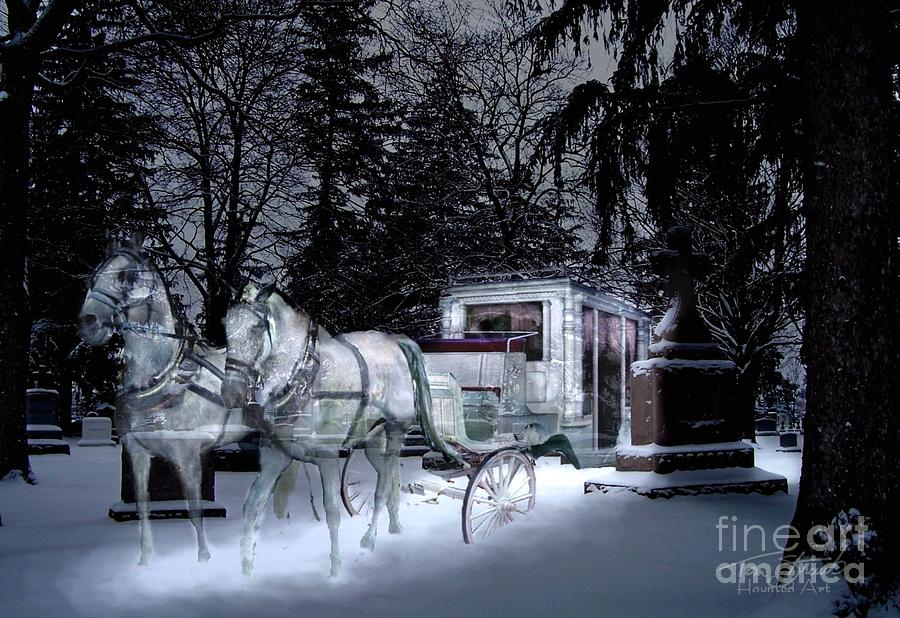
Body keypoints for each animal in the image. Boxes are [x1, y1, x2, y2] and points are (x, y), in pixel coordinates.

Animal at [77, 236, 250, 564]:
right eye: (92, 277)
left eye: (126, 276)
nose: (88, 324)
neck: (163, 374)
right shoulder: (137, 452)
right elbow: (143, 508)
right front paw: (145, 562)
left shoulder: (189, 457)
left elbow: (195, 513)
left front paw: (204, 560)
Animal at [223, 282, 464, 572]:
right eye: (226, 327)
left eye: (256, 327)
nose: (231, 394)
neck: (304, 381)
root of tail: (396, 341)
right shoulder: (274, 457)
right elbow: (252, 507)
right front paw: (246, 570)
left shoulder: (327, 458)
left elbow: (332, 512)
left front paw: (336, 569)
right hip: (373, 441)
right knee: (391, 476)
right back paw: (394, 527)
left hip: (396, 429)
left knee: (382, 488)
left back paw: (370, 539)